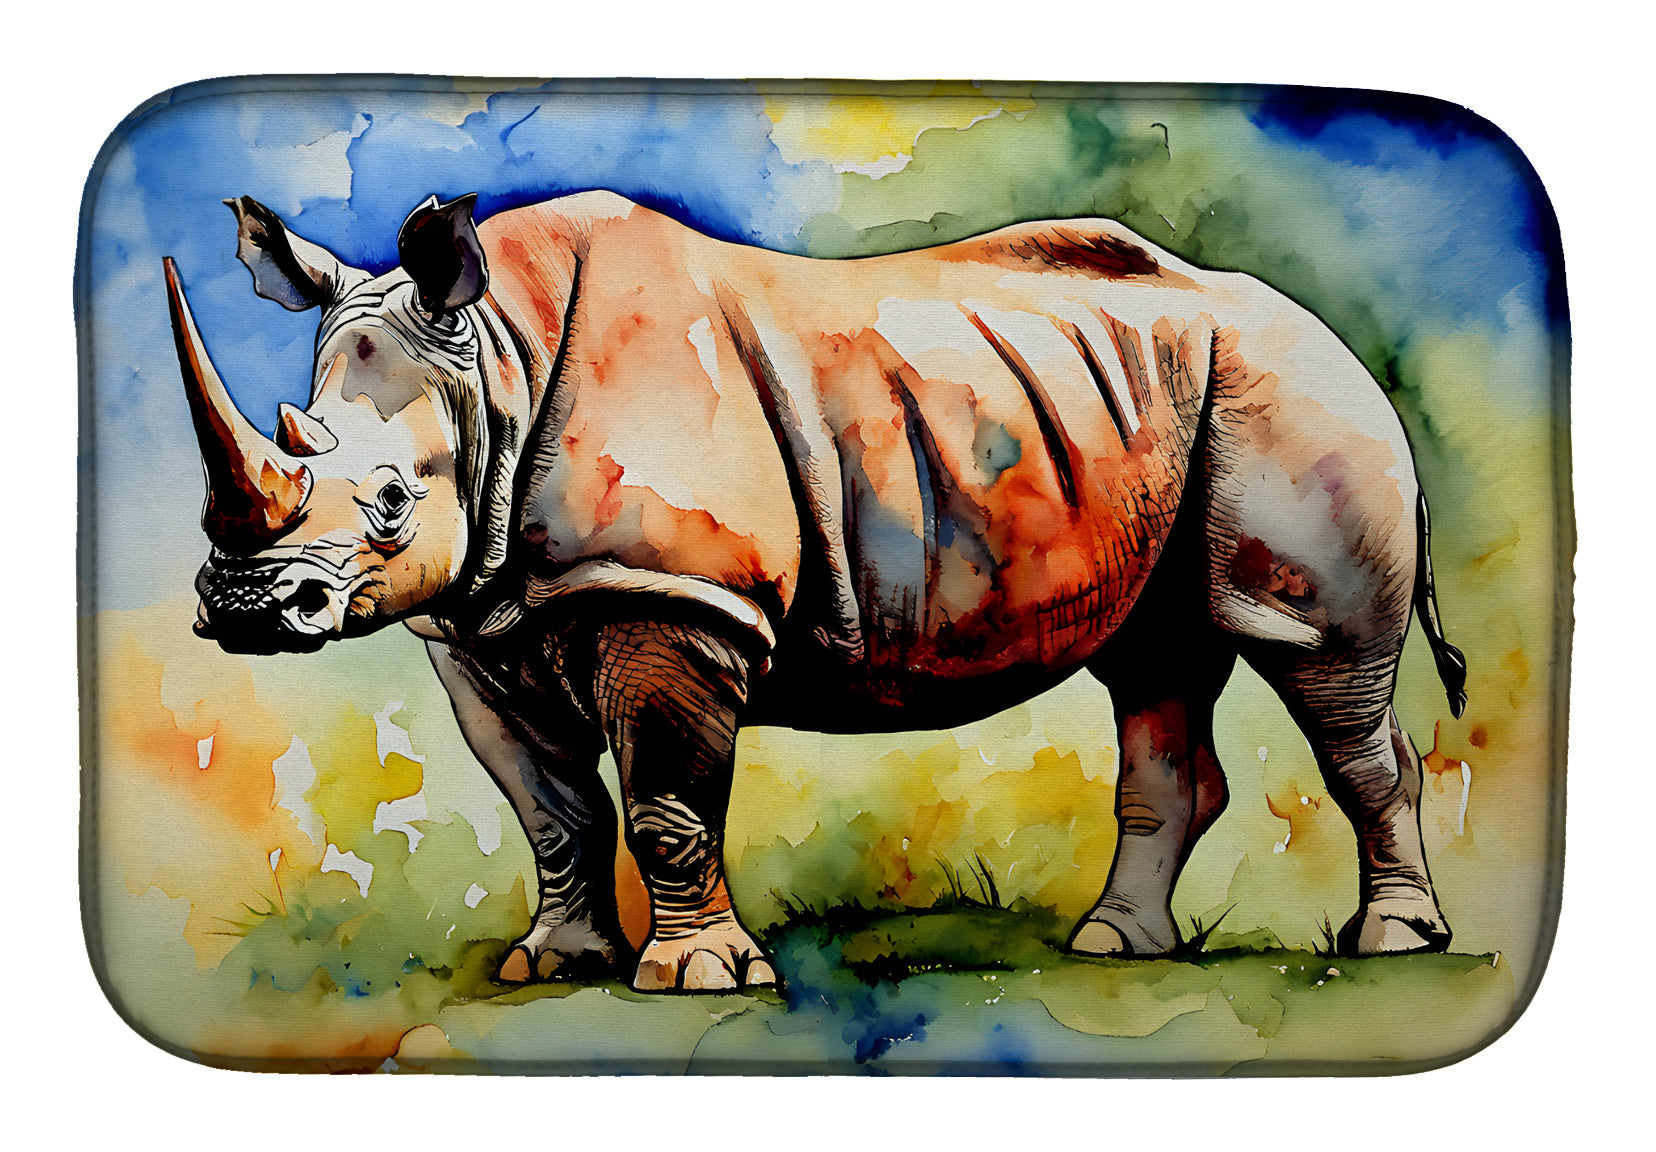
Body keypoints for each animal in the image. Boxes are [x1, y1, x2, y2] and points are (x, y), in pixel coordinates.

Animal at [166, 189, 1468, 992]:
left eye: (391, 499)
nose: (245, 611)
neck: (498, 358)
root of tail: (1334, 340)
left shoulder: (674, 596)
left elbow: (667, 800)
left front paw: (697, 978)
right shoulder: (480, 615)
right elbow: (550, 806)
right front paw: (554, 963)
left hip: (1297, 400)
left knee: (1319, 667)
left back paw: (1396, 943)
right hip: (1153, 412)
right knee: (1156, 661)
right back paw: (1114, 947)